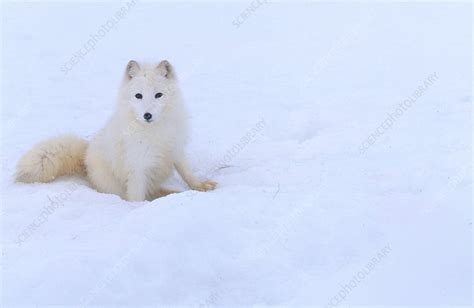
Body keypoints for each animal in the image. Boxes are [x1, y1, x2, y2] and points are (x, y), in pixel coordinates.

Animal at [15, 60, 218, 202]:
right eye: (138, 96)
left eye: (158, 95)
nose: (147, 115)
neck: (153, 131)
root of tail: (86, 155)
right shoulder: (137, 168)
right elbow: (136, 198)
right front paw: (138, 210)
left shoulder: (175, 149)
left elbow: (187, 172)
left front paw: (201, 185)